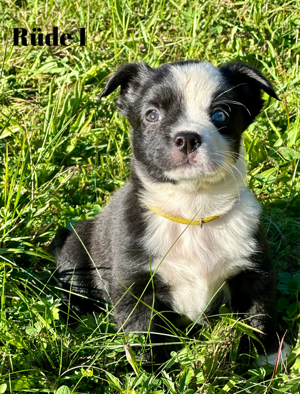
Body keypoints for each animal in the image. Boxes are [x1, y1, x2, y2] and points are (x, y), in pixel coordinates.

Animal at [52, 60, 290, 364]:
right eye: (152, 115)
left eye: (220, 114)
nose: (187, 138)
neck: (192, 211)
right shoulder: (136, 283)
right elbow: (143, 330)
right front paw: (147, 369)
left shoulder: (254, 269)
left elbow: (260, 311)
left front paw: (269, 354)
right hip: (75, 251)